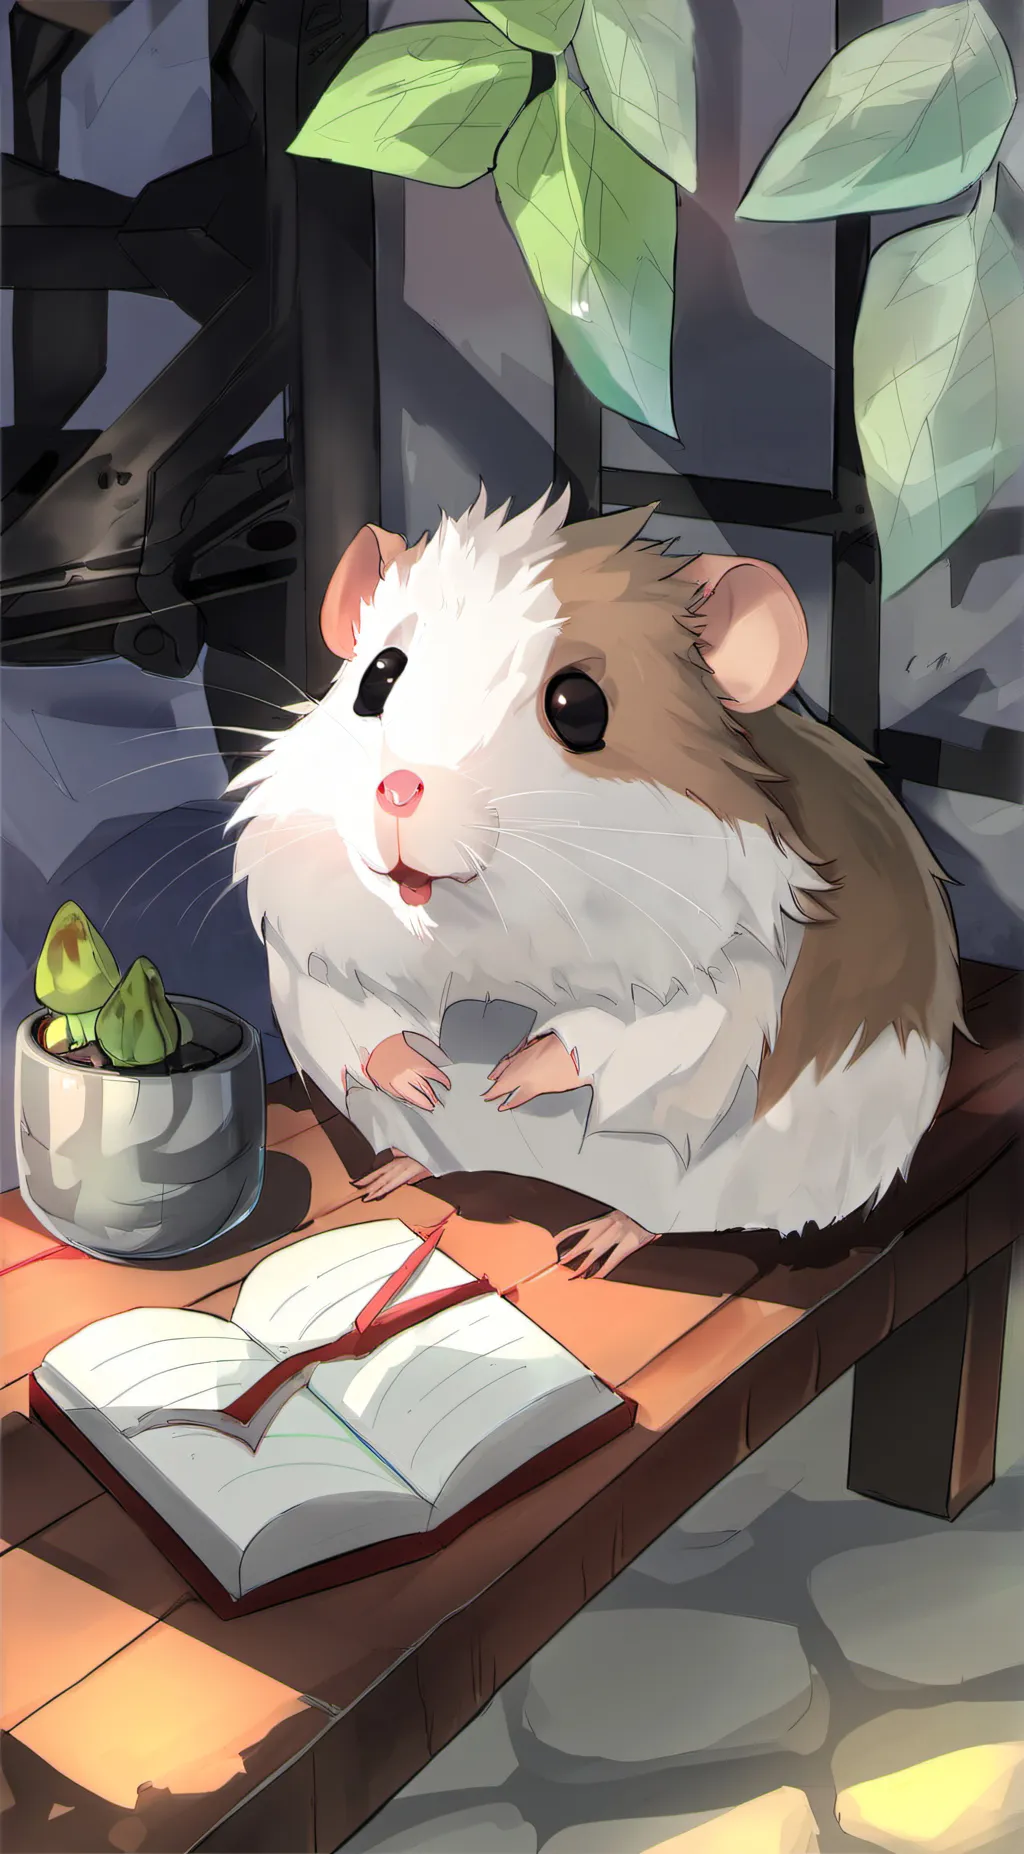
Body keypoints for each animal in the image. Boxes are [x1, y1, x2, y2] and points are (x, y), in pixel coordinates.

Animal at [232, 487, 963, 1277]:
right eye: (379, 677)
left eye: (578, 707)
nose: (398, 791)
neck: (479, 927)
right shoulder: (308, 944)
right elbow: (344, 1009)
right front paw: (424, 1074)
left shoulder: (734, 959)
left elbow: (658, 1025)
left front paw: (514, 1076)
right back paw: (401, 1167)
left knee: (663, 1210)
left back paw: (606, 1237)